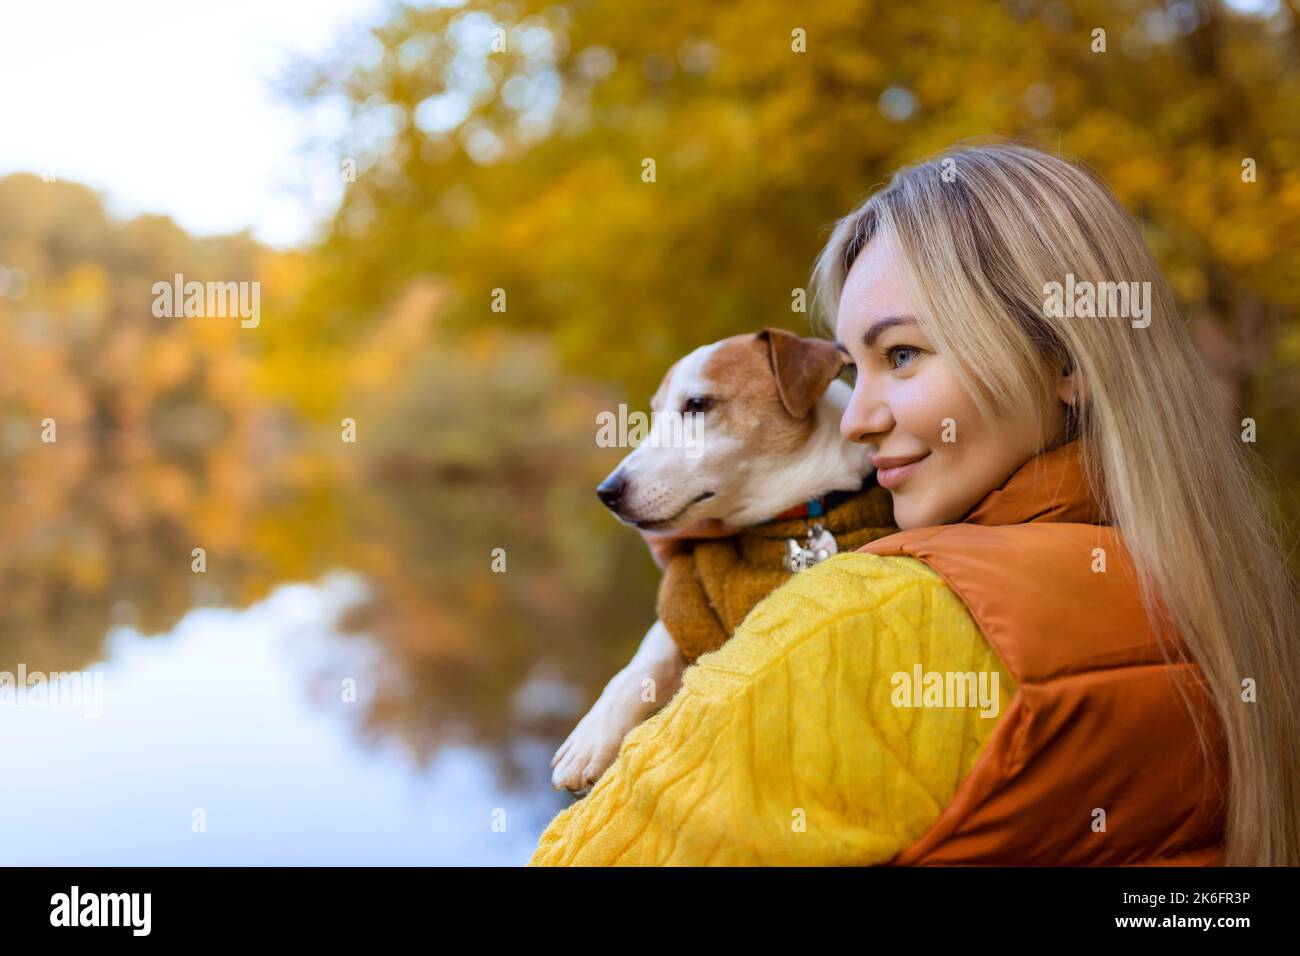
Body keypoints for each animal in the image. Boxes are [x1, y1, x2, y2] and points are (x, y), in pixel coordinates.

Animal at [548, 327, 894, 790]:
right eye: (655, 414)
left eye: (698, 405)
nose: (607, 492)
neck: (790, 521)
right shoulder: (687, 592)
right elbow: (644, 658)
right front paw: (591, 735)